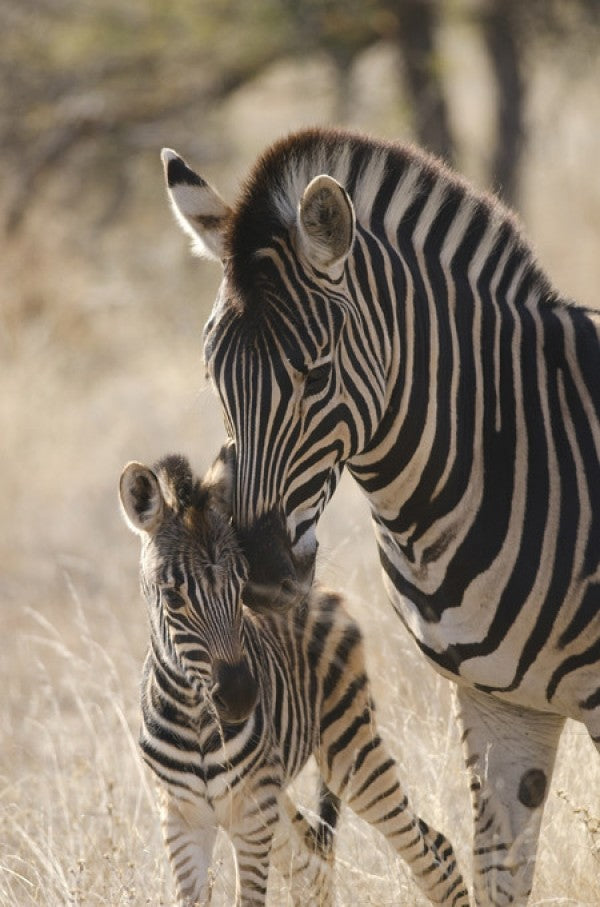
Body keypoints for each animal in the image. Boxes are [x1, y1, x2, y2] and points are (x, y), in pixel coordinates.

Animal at [119, 448, 469, 906]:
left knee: (430, 852)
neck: (195, 714)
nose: (241, 697)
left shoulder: (252, 816)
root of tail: (318, 590)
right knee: (314, 868)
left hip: (348, 752)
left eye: (240, 585)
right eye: (172, 597)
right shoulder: (181, 820)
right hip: (278, 793)